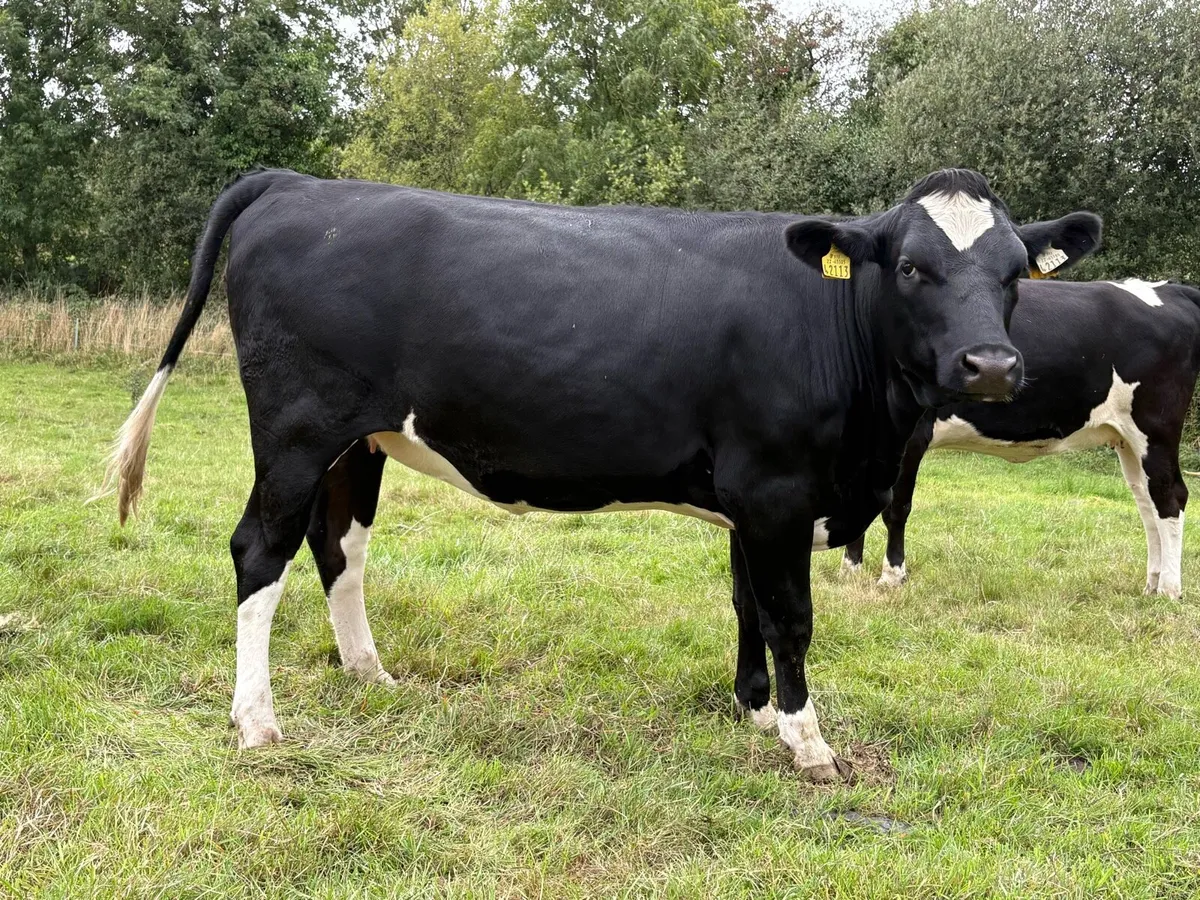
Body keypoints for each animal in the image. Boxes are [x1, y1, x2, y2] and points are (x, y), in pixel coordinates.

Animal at [101, 168, 1100, 781]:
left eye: (1015, 273)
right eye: (913, 267)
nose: (992, 366)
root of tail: (300, 184)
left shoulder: (751, 498)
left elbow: (745, 601)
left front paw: (755, 712)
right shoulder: (777, 491)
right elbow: (790, 616)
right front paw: (807, 740)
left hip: (360, 441)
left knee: (337, 546)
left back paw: (369, 673)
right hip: (298, 429)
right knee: (259, 551)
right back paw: (258, 721)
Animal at [841, 278, 1200, 597]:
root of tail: (1168, 289)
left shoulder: (913, 437)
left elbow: (896, 507)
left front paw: (891, 577)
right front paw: (850, 570)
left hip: (1156, 427)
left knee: (1170, 497)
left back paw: (1169, 590)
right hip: (1127, 438)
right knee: (1147, 500)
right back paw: (1151, 585)